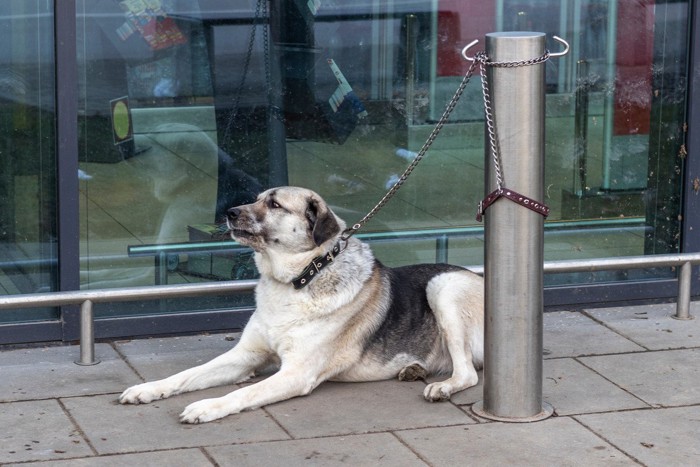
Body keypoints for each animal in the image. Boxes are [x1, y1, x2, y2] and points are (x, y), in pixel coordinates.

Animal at [119, 186, 482, 424]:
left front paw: (207, 407)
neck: (297, 280)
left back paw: (443, 387)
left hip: (444, 286)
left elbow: (243, 394)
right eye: (256, 198)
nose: (229, 212)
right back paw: (413, 368)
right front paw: (148, 389)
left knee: (467, 373)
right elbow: (187, 374)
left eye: (274, 204)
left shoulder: (296, 373)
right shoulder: (245, 356)